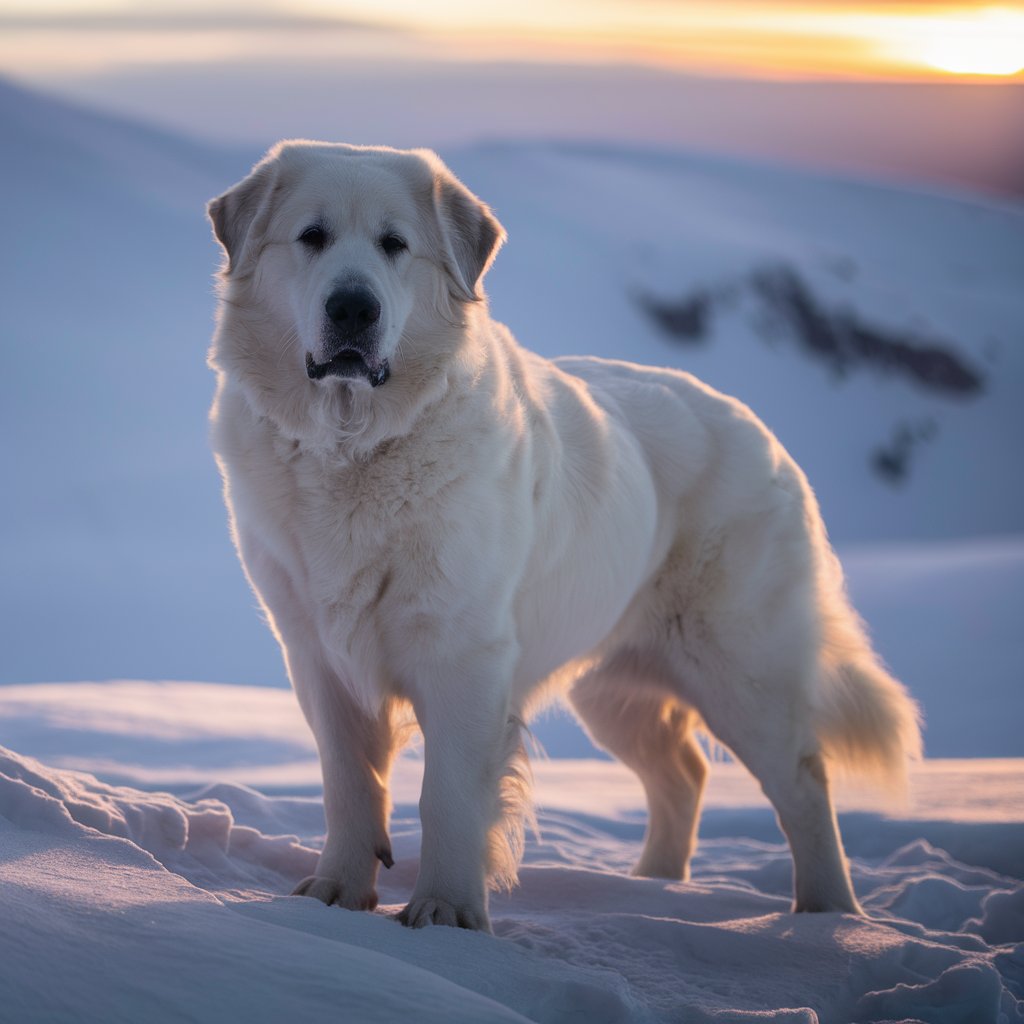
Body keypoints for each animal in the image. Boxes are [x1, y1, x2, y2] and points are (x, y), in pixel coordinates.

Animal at [205, 140, 921, 933]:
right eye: (312, 237)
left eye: (395, 245)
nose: (354, 307)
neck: (354, 446)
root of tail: (761, 432)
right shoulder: (317, 655)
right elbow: (348, 783)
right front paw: (335, 896)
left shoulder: (463, 657)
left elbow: (448, 796)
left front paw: (446, 913)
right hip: (615, 685)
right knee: (683, 774)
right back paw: (654, 889)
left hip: (743, 670)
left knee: (802, 781)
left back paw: (828, 919)